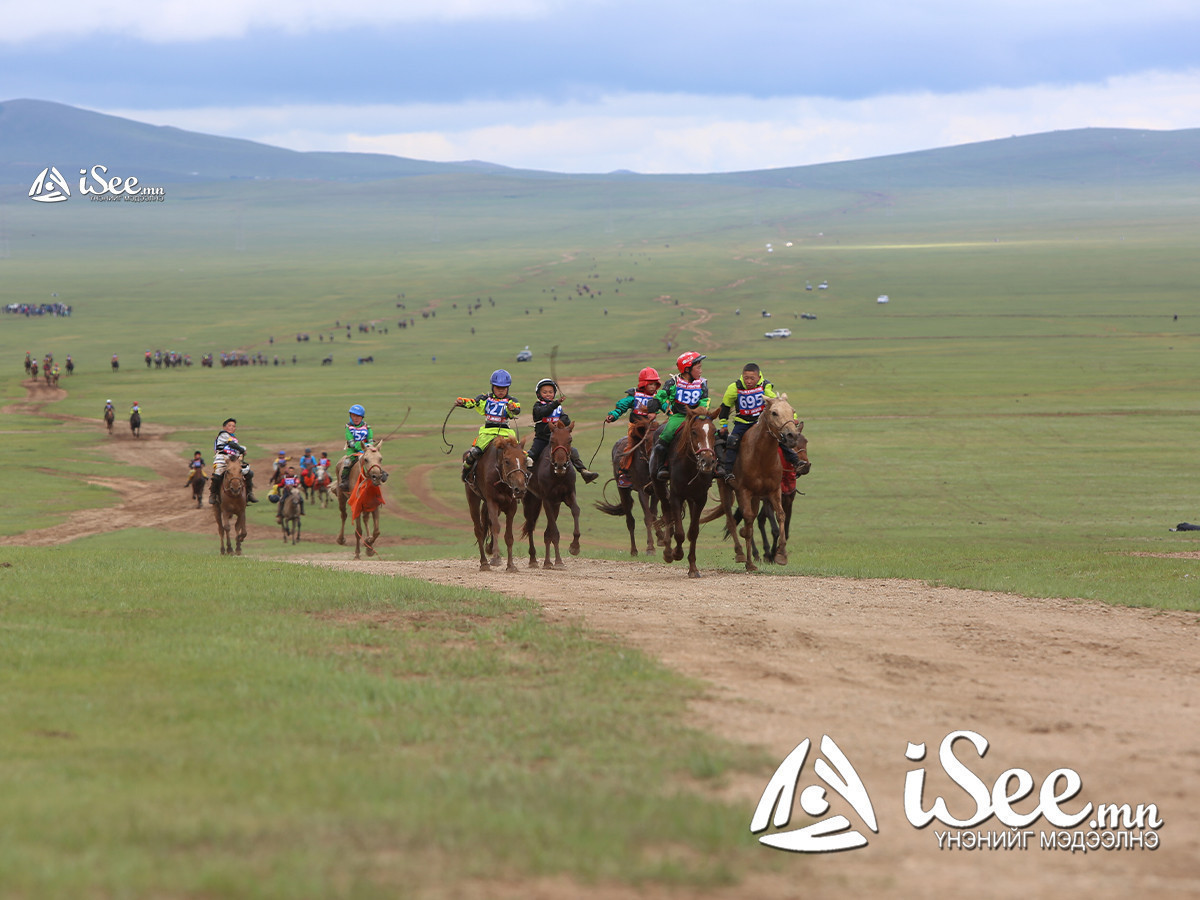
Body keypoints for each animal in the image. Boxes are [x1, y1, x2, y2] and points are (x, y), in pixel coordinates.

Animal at [465, 434, 528, 573]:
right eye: (507, 461)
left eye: (525, 461)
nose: (520, 489)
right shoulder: (492, 502)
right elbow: (496, 527)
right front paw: (496, 558)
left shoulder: (511, 506)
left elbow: (508, 536)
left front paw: (511, 565)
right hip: (473, 497)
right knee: (478, 530)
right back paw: (484, 562)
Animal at [523, 420, 583, 566]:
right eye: (552, 440)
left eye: (570, 440)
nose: (560, 465)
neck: (558, 476)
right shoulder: (547, 500)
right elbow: (554, 533)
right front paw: (559, 562)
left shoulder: (568, 495)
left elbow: (576, 510)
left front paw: (575, 547)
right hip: (530, 501)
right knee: (530, 526)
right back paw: (533, 559)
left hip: (555, 505)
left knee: (546, 532)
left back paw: (547, 562)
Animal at [595, 415, 662, 556]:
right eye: (646, 439)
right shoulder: (642, 491)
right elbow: (648, 517)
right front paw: (650, 548)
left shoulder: (656, 491)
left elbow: (653, 515)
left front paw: (661, 538)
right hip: (623, 491)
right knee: (630, 521)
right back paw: (633, 550)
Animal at [652, 408, 715, 578]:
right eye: (693, 432)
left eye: (714, 431)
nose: (707, 461)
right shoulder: (675, 496)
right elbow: (679, 532)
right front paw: (676, 553)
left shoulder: (700, 498)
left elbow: (693, 532)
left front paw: (693, 568)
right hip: (659, 488)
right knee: (667, 514)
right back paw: (668, 552)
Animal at [705, 393, 811, 571]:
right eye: (774, 413)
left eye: (792, 411)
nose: (792, 436)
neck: (761, 457)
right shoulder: (747, 493)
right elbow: (754, 524)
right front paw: (752, 561)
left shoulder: (776, 493)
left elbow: (781, 519)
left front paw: (781, 555)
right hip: (726, 489)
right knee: (733, 520)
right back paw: (742, 553)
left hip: (755, 497)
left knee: (752, 519)